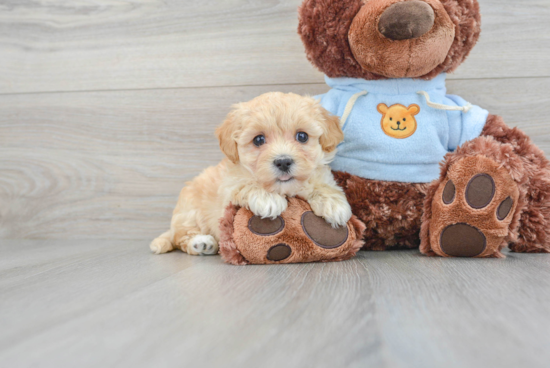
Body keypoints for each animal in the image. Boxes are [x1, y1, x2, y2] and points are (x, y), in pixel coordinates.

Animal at [150, 92, 354, 256]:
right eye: (258, 140)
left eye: (302, 136)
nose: (283, 161)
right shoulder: (228, 187)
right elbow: (246, 184)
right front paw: (269, 199)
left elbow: (322, 184)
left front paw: (334, 205)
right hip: (190, 211)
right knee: (181, 237)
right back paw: (202, 243)